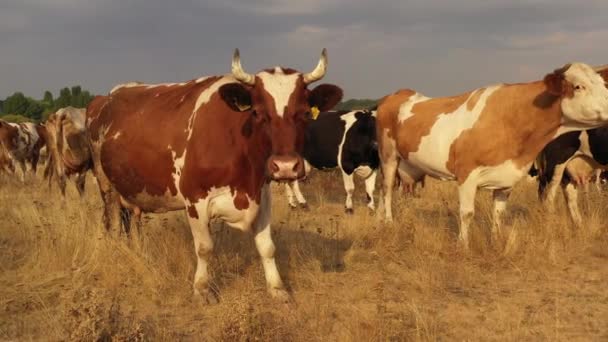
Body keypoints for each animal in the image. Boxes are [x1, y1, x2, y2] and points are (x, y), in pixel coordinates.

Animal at [86, 49, 344, 304]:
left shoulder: (262, 196)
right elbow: (204, 247)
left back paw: (138, 252)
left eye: (304, 113)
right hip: (107, 185)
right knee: (114, 226)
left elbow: (267, 246)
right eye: (258, 112)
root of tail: (108, 97)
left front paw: (277, 288)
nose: (286, 166)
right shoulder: (195, 199)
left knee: (132, 222)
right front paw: (202, 289)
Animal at [378, 62, 608, 248]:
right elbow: (466, 213)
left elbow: (498, 213)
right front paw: (463, 245)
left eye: (602, 83)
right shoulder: (466, 174)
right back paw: (387, 222)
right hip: (388, 157)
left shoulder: (505, 179)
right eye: (579, 86)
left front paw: (496, 240)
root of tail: (400, 93)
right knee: (386, 189)